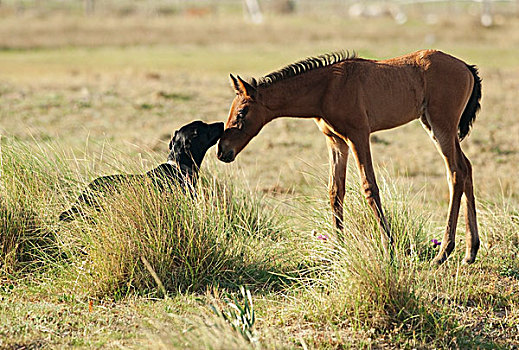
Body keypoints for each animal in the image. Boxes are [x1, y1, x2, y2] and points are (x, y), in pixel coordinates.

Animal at [216, 50, 484, 266]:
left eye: (242, 112)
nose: (222, 151)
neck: (327, 87)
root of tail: (466, 67)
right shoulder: (336, 141)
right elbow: (336, 191)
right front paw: (338, 248)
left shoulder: (358, 136)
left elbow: (369, 187)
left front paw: (389, 248)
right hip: (435, 126)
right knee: (467, 168)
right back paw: (470, 251)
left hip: (441, 127)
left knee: (455, 173)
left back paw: (444, 252)